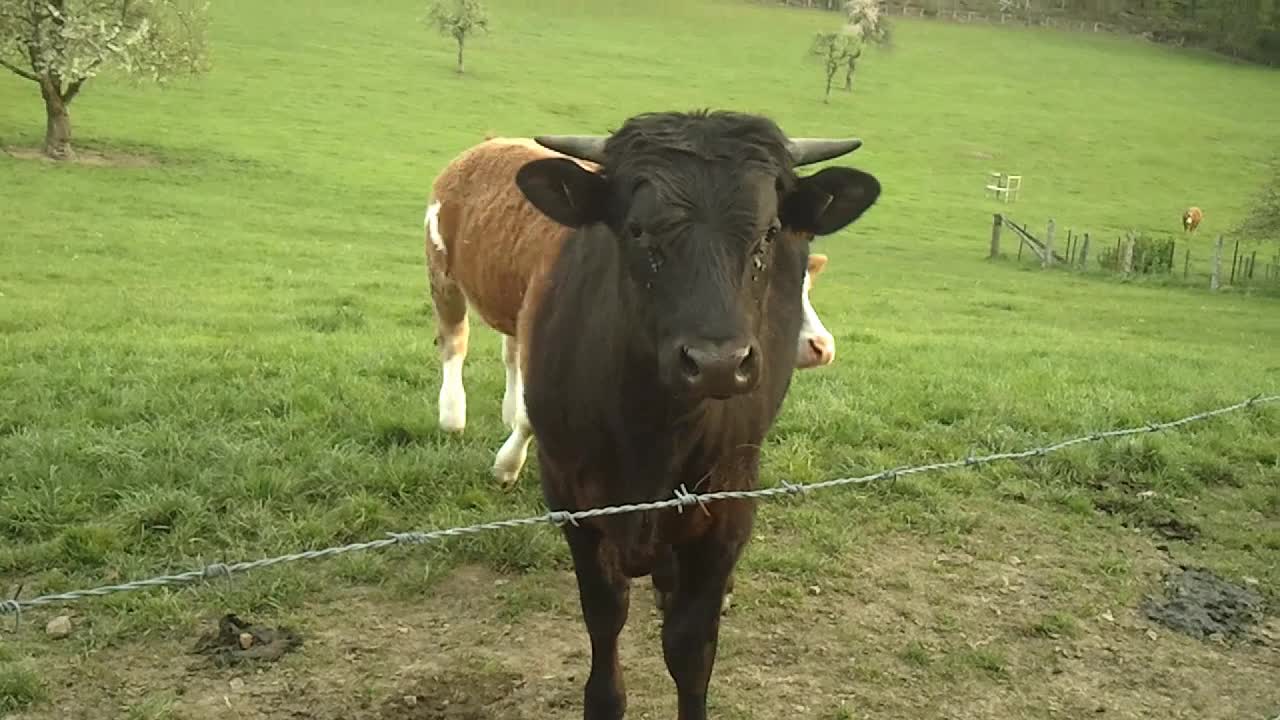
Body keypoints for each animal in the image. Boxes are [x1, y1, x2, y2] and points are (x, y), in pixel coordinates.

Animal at [422, 136, 839, 484]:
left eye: (803, 285)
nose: (821, 346)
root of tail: (488, 144)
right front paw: (507, 466)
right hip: (442, 274)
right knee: (454, 341)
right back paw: (452, 416)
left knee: (508, 351)